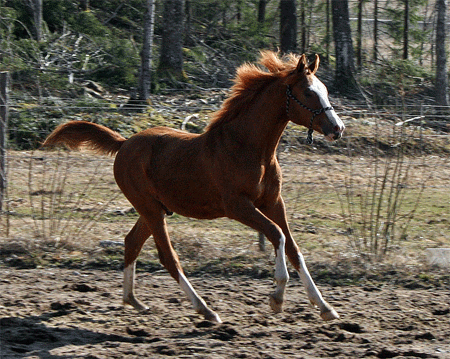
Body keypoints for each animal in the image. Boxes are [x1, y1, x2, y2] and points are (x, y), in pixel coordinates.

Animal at [43, 52, 344, 324]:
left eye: (325, 90)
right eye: (308, 92)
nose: (337, 129)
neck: (249, 150)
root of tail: (124, 143)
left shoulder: (273, 202)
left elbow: (294, 249)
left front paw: (325, 308)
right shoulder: (237, 206)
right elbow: (277, 235)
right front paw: (277, 298)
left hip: (155, 209)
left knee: (132, 243)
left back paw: (134, 301)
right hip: (150, 208)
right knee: (167, 256)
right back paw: (205, 310)